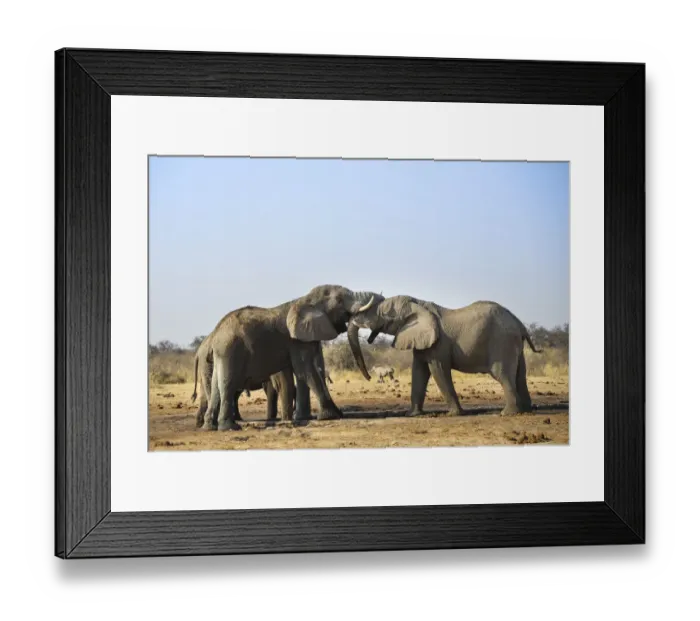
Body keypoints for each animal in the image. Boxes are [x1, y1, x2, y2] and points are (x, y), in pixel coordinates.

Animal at [200, 285, 383, 431]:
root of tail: (215, 334)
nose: (370, 377)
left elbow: (307, 373)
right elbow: (305, 370)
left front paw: (305, 418)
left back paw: (210, 427)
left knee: (216, 386)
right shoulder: (296, 341)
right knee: (227, 384)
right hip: (230, 350)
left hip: (222, 353)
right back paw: (230, 427)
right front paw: (332, 416)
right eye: (339, 300)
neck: (306, 300)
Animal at [349, 296, 541, 416]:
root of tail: (519, 323)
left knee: (502, 374)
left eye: (385, 314)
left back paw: (507, 413)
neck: (418, 303)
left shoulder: (439, 344)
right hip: (513, 344)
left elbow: (438, 370)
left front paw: (455, 414)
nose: (368, 377)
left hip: (501, 341)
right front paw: (413, 414)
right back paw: (526, 410)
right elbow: (419, 372)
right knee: (520, 375)